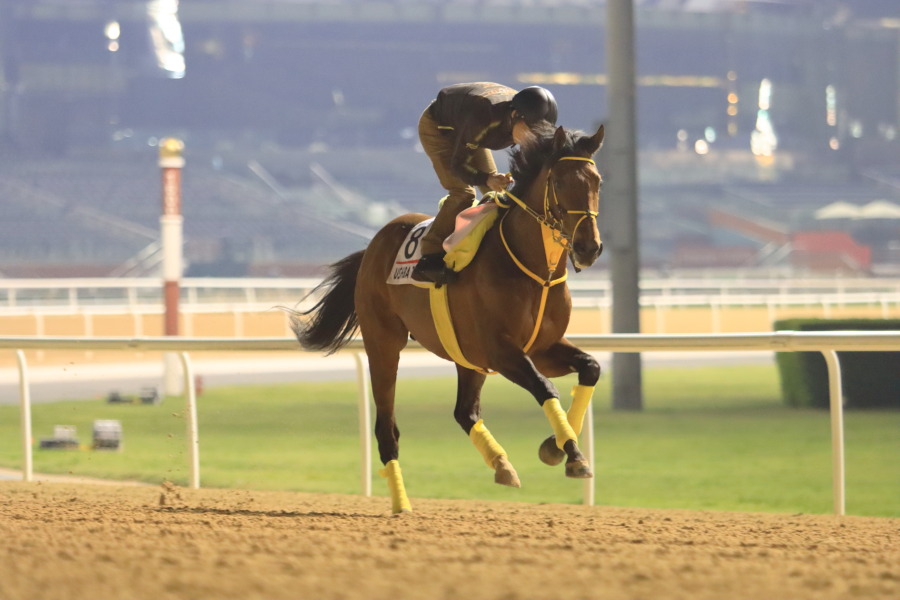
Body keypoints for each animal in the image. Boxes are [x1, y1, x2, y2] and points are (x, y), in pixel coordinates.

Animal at [292, 123, 608, 516]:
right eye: (561, 181)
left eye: (597, 182)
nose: (588, 247)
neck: (538, 271)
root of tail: (375, 243)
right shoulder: (502, 351)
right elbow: (545, 387)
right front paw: (573, 455)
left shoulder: (542, 347)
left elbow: (591, 368)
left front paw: (556, 446)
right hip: (384, 343)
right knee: (387, 427)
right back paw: (401, 503)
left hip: (467, 356)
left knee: (464, 412)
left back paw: (501, 464)